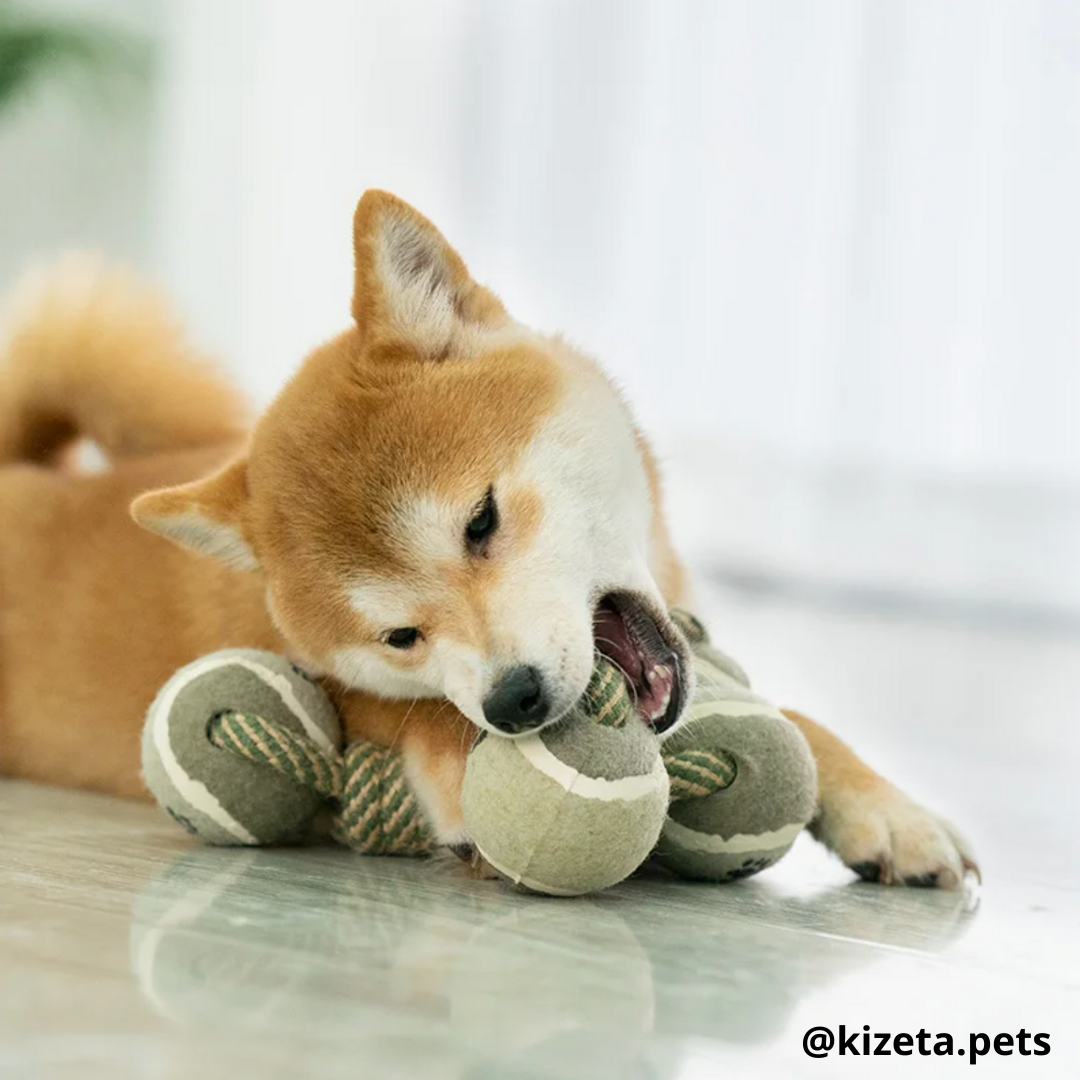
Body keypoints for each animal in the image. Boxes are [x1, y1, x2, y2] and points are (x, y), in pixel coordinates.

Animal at [0, 192, 980, 885]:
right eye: (399, 637)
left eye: (480, 521)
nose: (513, 701)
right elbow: (409, 713)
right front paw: (459, 772)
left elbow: (801, 720)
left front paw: (888, 810)